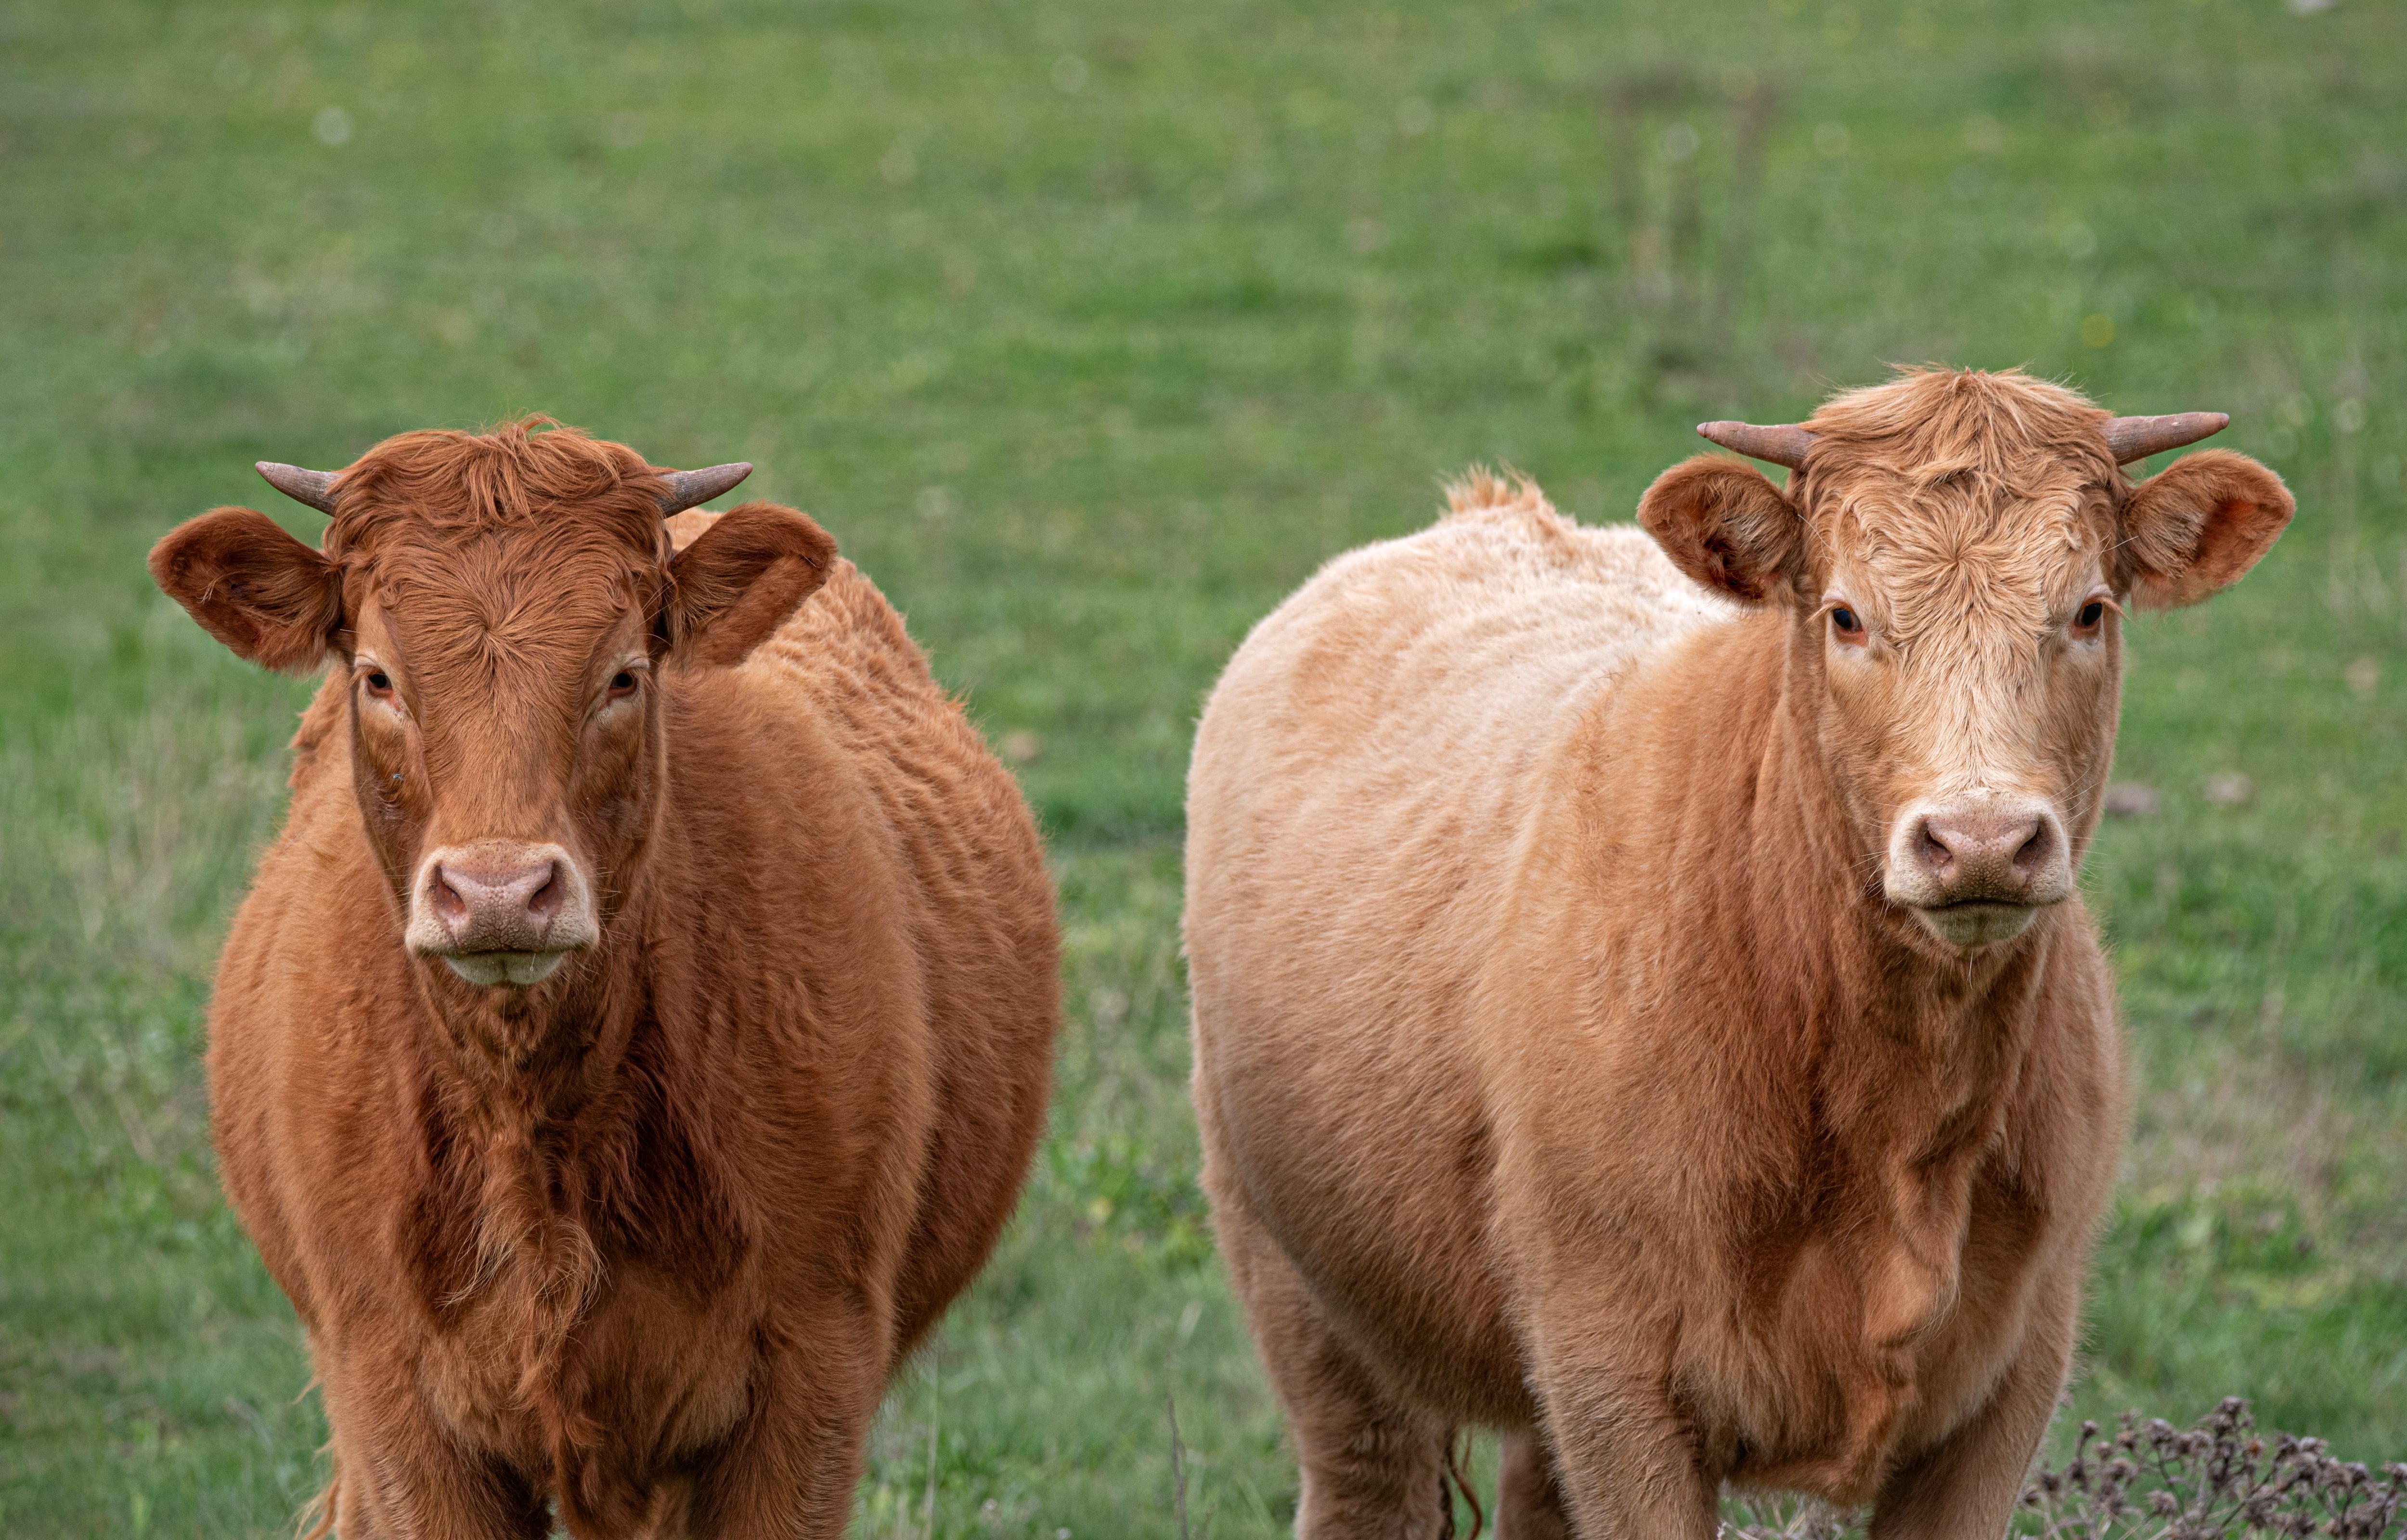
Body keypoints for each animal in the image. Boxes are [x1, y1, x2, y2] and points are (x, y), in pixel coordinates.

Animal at [145, 421, 1059, 1540]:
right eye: (378, 677)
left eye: (622, 676)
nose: (498, 891)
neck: (540, 1126)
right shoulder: (390, 1395)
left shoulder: (813, 1382)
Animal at [1184, 366, 2291, 1530]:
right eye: (1844, 614)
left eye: (2087, 610)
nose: (1980, 839)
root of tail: (1485, 513)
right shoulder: (1615, 1382)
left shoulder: (2010, 1384)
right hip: (1306, 1294)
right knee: (1366, 1480)